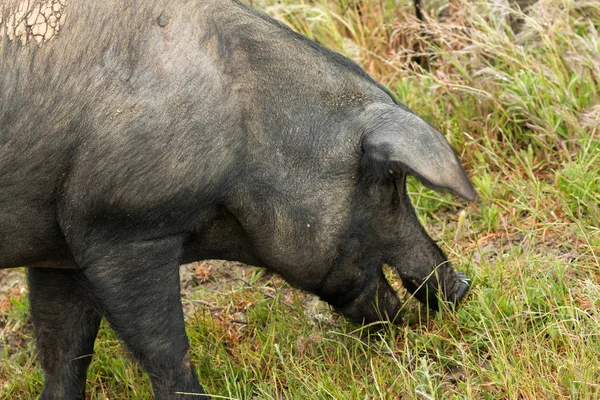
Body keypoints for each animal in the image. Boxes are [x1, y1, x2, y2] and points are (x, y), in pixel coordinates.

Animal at [1, 0, 474, 398]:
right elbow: (164, 349)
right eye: (391, 183)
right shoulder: (119, 229)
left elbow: (64, 348)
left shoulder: (58, 249)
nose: (464, 286)